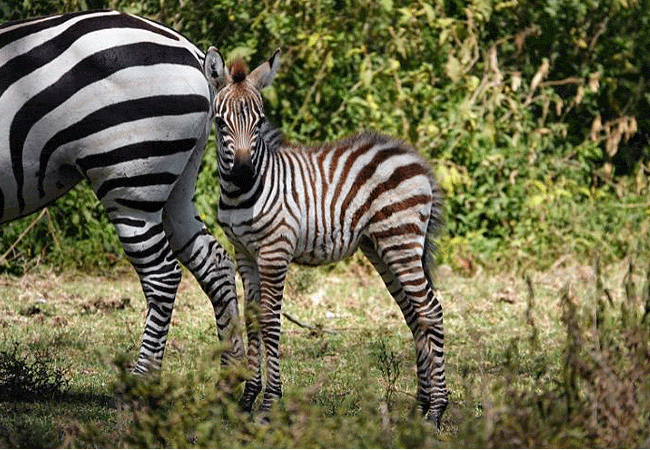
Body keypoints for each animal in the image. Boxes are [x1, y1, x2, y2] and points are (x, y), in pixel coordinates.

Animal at [0, 10, 244, 374]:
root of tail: (190, 50)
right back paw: (236, 374)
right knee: (216, 262)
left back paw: (142, 380)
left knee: (163, 276)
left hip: (131, 178)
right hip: (178, 185)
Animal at [203, 47, 449, 426]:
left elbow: (271, 322)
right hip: (381, 247)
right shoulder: (244, 252)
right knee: (414, 315)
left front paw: (269, 406)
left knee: (431, 311)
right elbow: (252, 318)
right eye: (219, 122)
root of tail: (416, 159)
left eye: (259, 122)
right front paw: (246, 400)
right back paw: (421, 406)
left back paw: (436, 411)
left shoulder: (275, 251)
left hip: (400, 240)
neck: (240, 195)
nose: (243, 174)